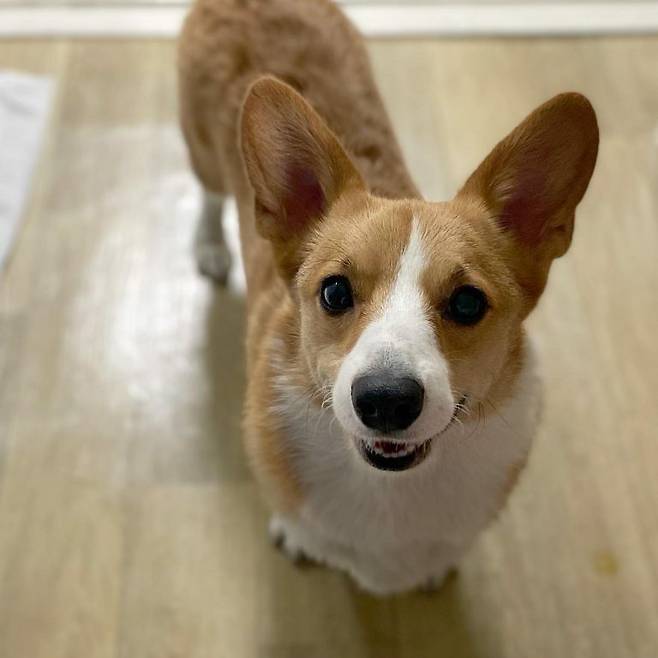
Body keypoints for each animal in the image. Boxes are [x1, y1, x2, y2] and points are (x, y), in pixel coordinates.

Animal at [178, 0, 598, 595]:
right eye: (334, 291)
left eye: (467, 302)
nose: (385, 401)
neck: (390, 487)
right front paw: (294, 537)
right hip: (204, 155)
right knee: (210, 195)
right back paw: (211, 246)